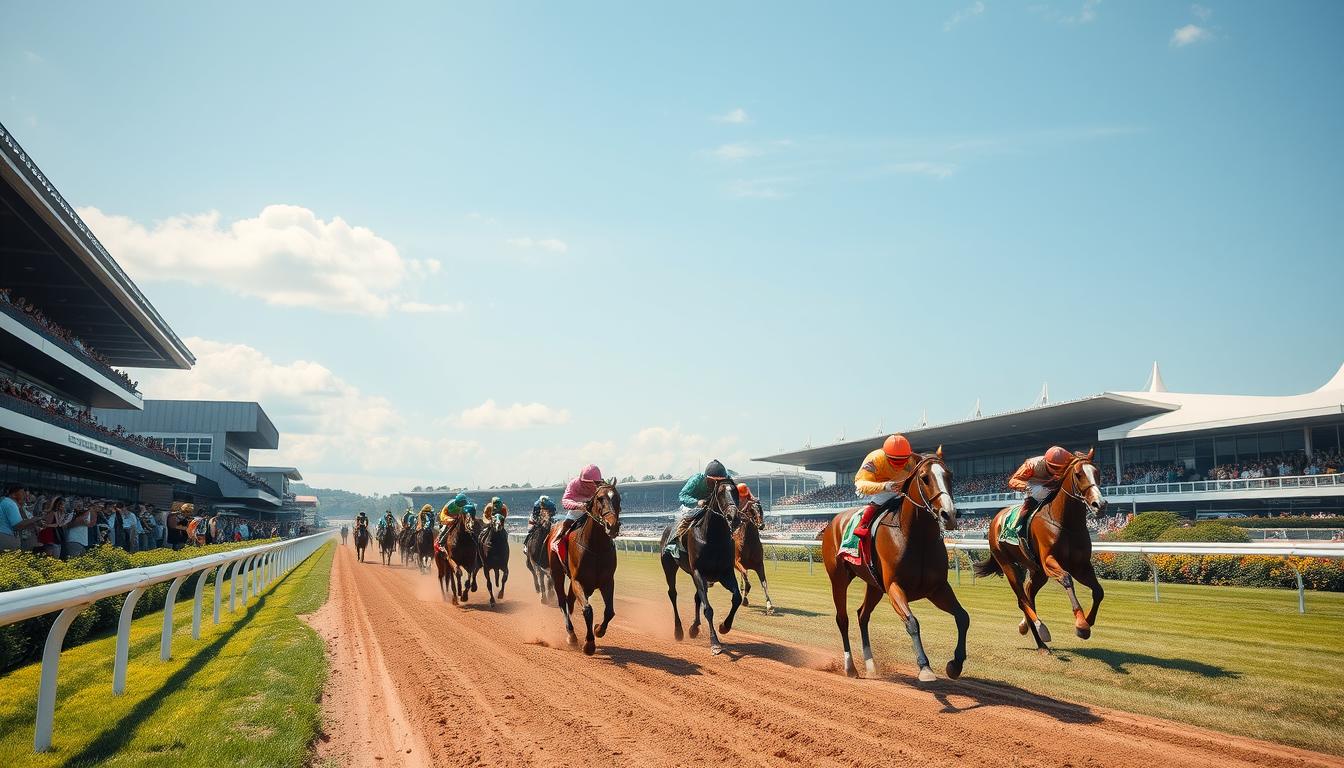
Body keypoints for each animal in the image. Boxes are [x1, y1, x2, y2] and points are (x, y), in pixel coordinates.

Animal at [542, 481, 620, 656]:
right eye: (600, 498)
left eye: (618, 498)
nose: (612, 526)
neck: (596, 547)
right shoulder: (579, 581)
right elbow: (587, 609)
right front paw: (589, 644)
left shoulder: (607, 581)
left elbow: (610, 611)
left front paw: (599, 630)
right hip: (557, 574)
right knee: (562, 602)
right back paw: (571, 635)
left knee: (569, 601)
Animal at [655, 481, 741, 656]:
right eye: (720, 493)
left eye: (736, 492)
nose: (733, 517)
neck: (713, 538)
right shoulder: (698, 572)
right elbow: (708, 609)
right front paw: (715, 643)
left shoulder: (724, 573)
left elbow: (737, 598)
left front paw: (724, 626)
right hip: (669, 566)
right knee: (673, 594)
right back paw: (678, 631)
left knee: (697, 597)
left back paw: (694, 628)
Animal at [817, 446, 967, 683]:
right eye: (925, 478)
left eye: (950, 476)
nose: (949, 514)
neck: (917, 538)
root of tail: (833, 522)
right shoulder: (895, 586)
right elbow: (912, 622)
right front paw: (924, 667)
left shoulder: (937, 588)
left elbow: (963, 617)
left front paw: (955, 665)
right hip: (838, 578)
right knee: (843, 618)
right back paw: (850, 668)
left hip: (874, 586)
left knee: (862, 615)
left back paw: (871, 665)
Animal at [973, 446, 1107, 650]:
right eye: (1078, 474)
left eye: (1097, 472)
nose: (1099, 504)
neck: (1066, 524)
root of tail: (996, 518)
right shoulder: (1049, 561)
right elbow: (1066, 579)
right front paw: (1081, 624)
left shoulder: (1081, 566)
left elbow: (1099, 591)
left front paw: (1088, 623)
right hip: (1008, 564)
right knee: (1022, 599)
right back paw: (1040, 628)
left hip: (1037, 572)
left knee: (1029, 594)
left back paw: (1034, 636)